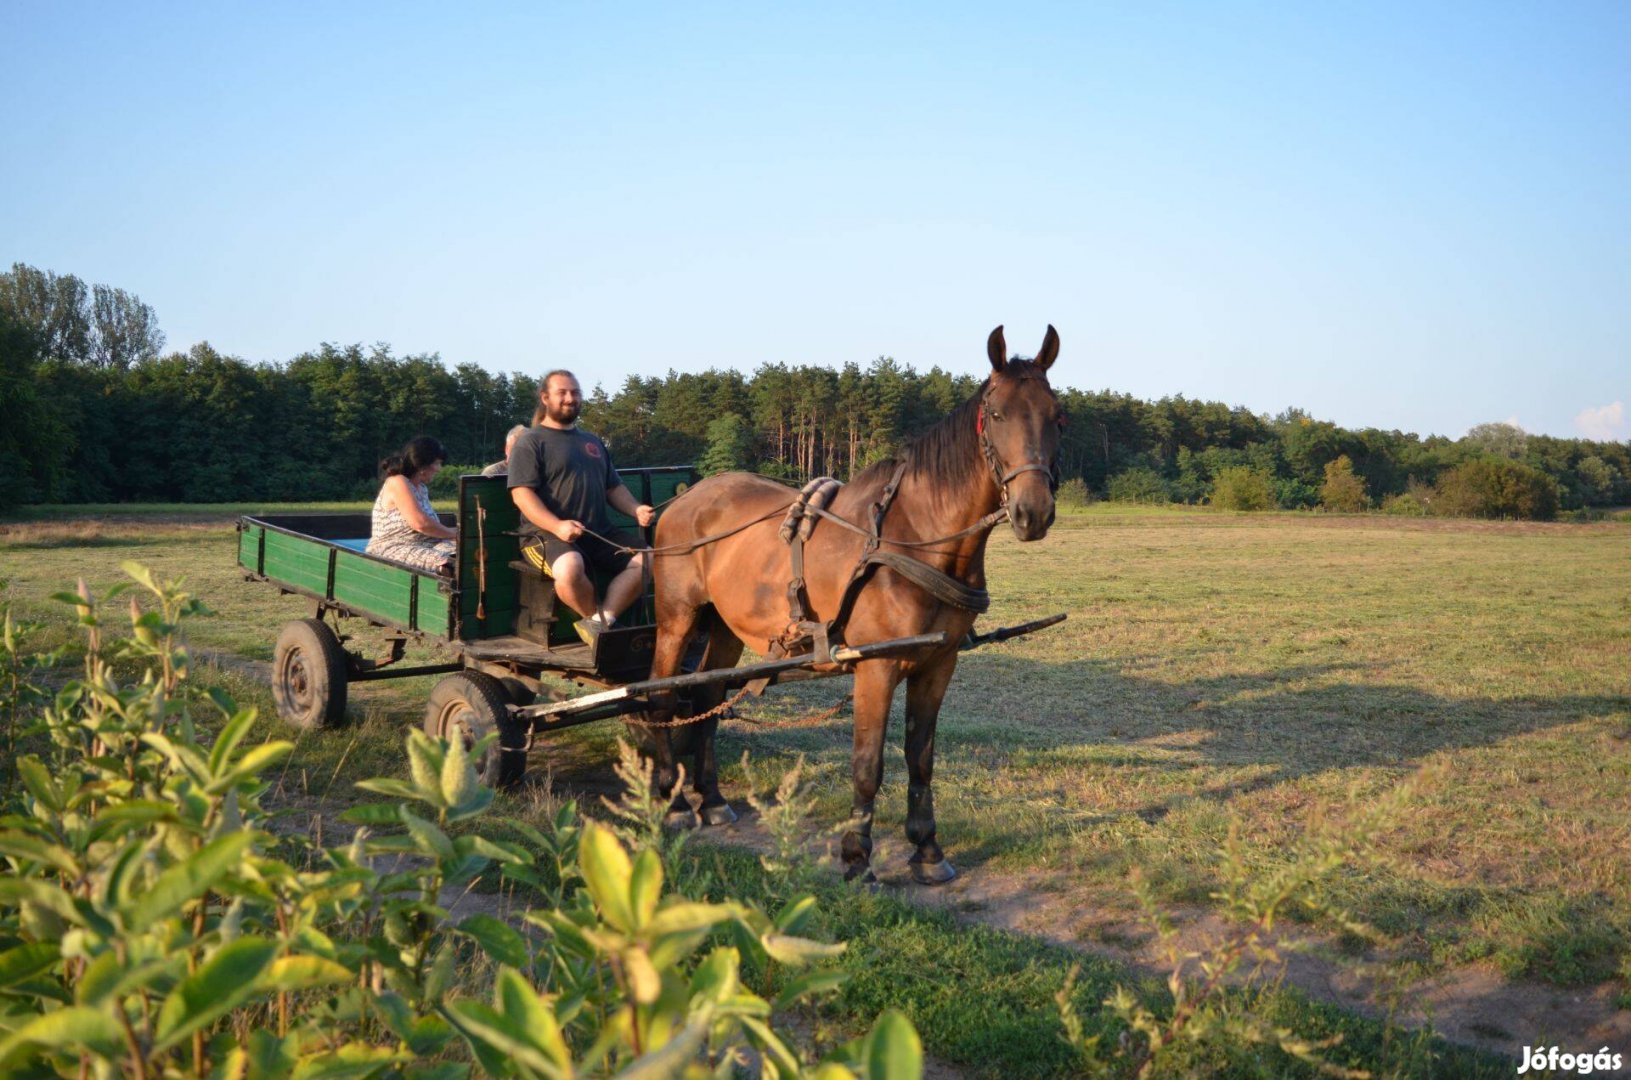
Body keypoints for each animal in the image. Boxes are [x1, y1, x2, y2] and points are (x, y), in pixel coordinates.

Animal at [636, 326, 1056, 887]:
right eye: (998, 414)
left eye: (1057, 415)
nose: (1034, 512)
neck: (914, 537)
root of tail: (685, 498)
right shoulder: (876, 667)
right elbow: (868, 763)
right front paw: (857, 856)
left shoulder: (938, 663)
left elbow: (920, 758)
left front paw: (927, 849)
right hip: (678, 617)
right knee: (661, 697)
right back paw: (676, 802)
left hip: (722, 626)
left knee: (706, 699)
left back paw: (714, 800)